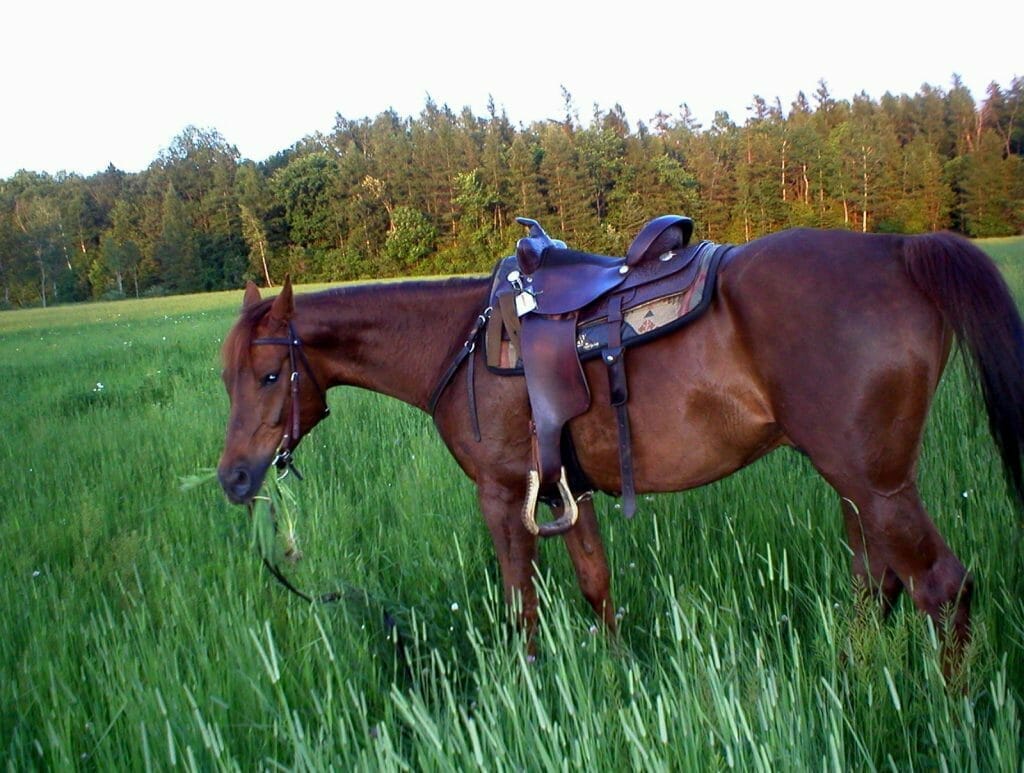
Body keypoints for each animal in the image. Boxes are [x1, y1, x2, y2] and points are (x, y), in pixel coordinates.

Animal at [217, 226, 1024, 663]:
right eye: (225, 378)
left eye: (269, 375)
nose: (233, 479)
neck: (460, 344)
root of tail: (899, 250)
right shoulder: (568, 491)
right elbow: (596, 585)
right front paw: (614, 672)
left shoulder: (502, 495)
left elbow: (521, 604)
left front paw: (530, 687)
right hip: (858, 482)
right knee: (875, 583)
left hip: (876, 482)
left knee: (942, 587)